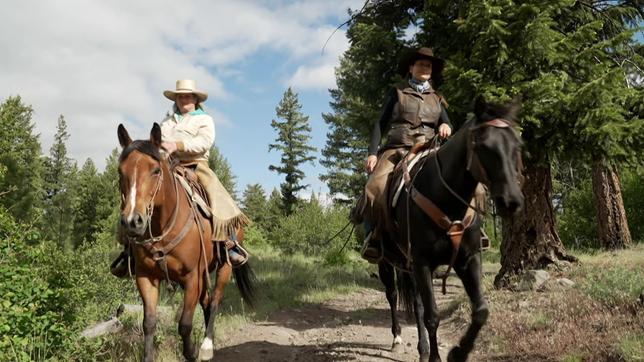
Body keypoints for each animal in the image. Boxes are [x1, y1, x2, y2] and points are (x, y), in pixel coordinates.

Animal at [117, 123, 255, 360]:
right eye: (120, 171)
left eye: (156, 170)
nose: (132, 221)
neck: (163, 227)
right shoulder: (146, 277)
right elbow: (149, 323)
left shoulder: (192, 278)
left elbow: (184, 324)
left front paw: (191, 352)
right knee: (207, 302)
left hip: (224, 267)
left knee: (215, 300)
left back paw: (207, 346)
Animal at [378, 97, 524, 362]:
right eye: (484, 145)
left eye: (517, 144)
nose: (512, 201)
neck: (444, 195)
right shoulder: (423, 263)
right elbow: (432, 316)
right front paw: (437, 356)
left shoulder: (468, 258)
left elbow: (481, 311)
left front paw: (458, 352)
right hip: (386, 261)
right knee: (393, 296)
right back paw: (397, 338)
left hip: (408, 265)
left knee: (416, 303)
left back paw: (422, 348)